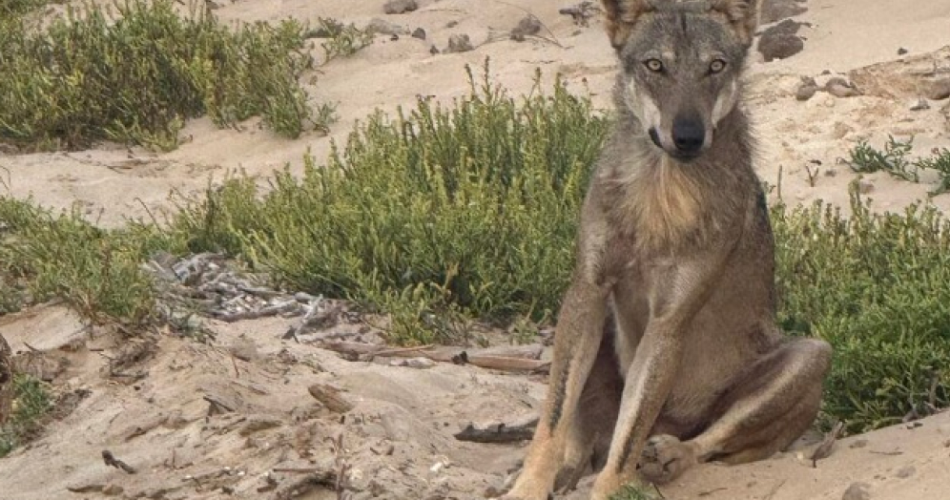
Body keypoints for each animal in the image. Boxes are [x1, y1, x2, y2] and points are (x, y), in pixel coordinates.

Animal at [500, 1, 832, 499]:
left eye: (715, 66)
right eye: (655, 65)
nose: (689, 136)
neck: (659, 198)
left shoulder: (668, 323)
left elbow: (629, 437)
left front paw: (613, 486)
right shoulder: (588, 291)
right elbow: (554, 419)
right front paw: (528, 486)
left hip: (812, 355)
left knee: (704, 442)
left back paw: (668, 455)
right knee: (583, 443)